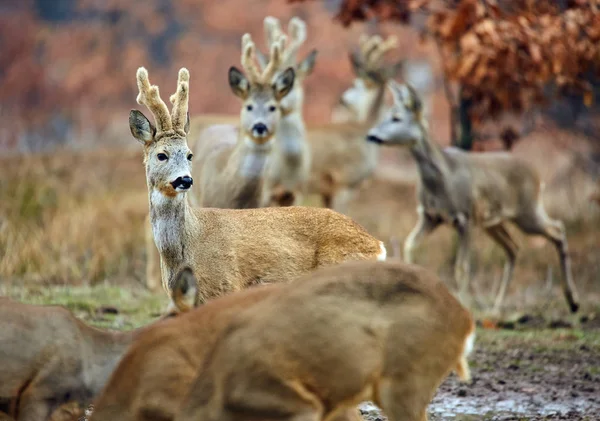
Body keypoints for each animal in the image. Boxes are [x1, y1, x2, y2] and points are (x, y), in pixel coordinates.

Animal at [366, 82, 580, 314]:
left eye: (396, 118)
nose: (371, 135)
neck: (441, 181)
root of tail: (538, 175)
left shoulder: (464, 217)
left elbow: (461, 268)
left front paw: (463, 306)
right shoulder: (429, 216)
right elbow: (409, 246)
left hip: (527, 211)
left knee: (557, 229)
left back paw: (573, 301)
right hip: (493, 222)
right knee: (513, 247)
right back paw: (496, 308)